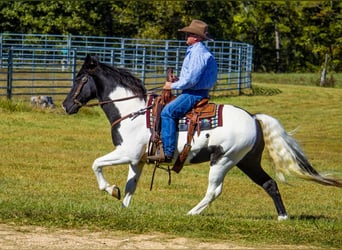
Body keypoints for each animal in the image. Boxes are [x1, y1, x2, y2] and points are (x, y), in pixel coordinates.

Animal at [62, 55, 340, 221]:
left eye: (79, 78)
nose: (66, 105)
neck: (132, 112)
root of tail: (253, 117)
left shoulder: (126, 153)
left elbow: (96, 164)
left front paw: (111, 189)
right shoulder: (137, 159)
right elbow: (131, 185)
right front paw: (123, 206)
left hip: (223, 160)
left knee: (214, 190)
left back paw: (192, 213)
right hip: (247, 161)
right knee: (269, 183)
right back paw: (283, 217)